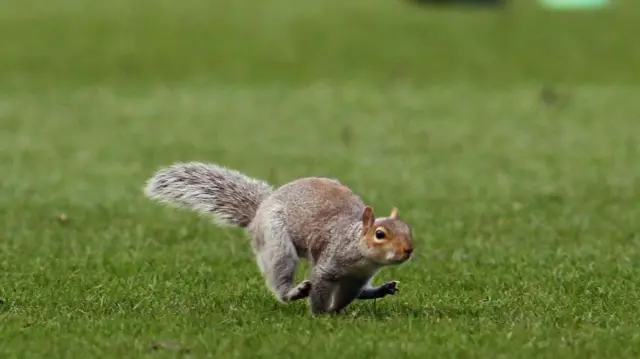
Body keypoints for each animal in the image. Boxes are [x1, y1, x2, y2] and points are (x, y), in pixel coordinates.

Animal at [143, 162, 416, 316]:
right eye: (380, 234)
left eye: (409, 229)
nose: (408, 250)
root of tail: (258, 213)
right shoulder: (329, 266)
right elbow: (320, 290)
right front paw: (321, 315)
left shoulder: (355, 278)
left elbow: (349, 294)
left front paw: (338, 311)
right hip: (275, 239)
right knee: (281, 271)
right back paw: (293, 291)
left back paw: (380, 290)